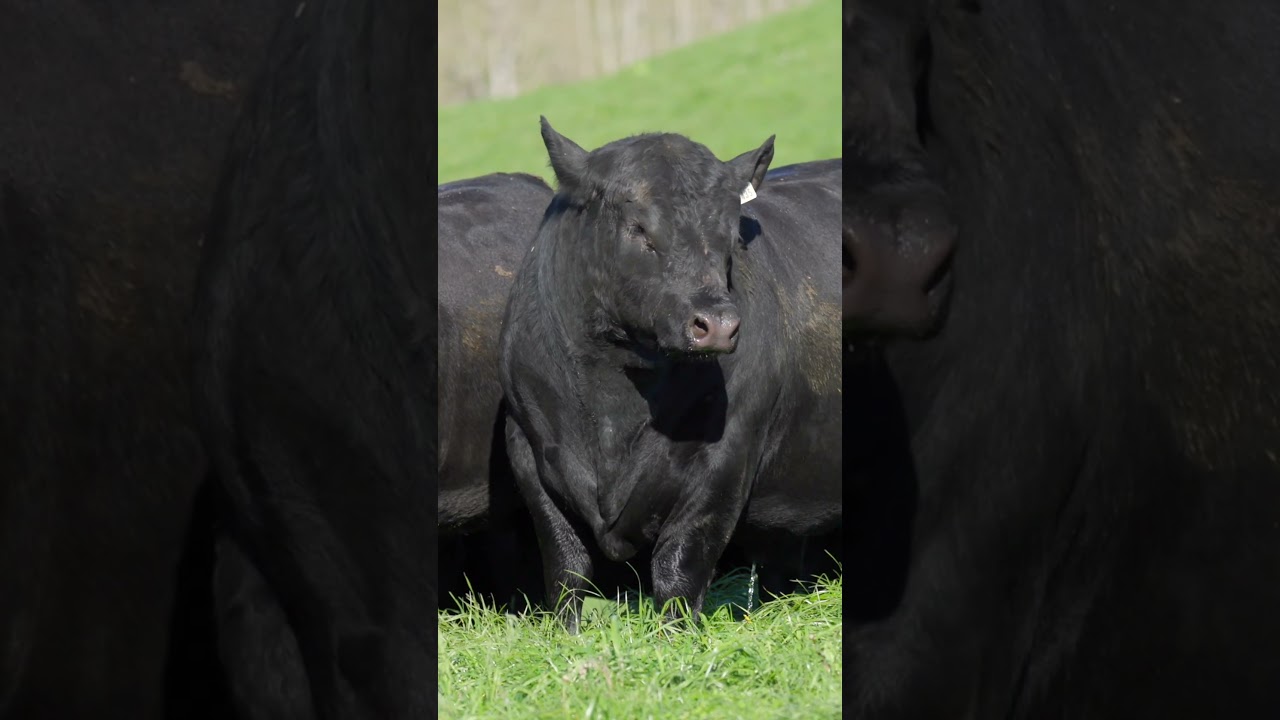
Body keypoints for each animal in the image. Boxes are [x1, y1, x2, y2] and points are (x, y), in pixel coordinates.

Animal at [497, 118, 843, 633]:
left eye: (732, 236)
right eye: (639, 228)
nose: (717, 324)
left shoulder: (727, 456)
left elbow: (679, 564)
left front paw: (676, 638)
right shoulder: (526, 445)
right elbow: (565, 565)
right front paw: (567, 637)